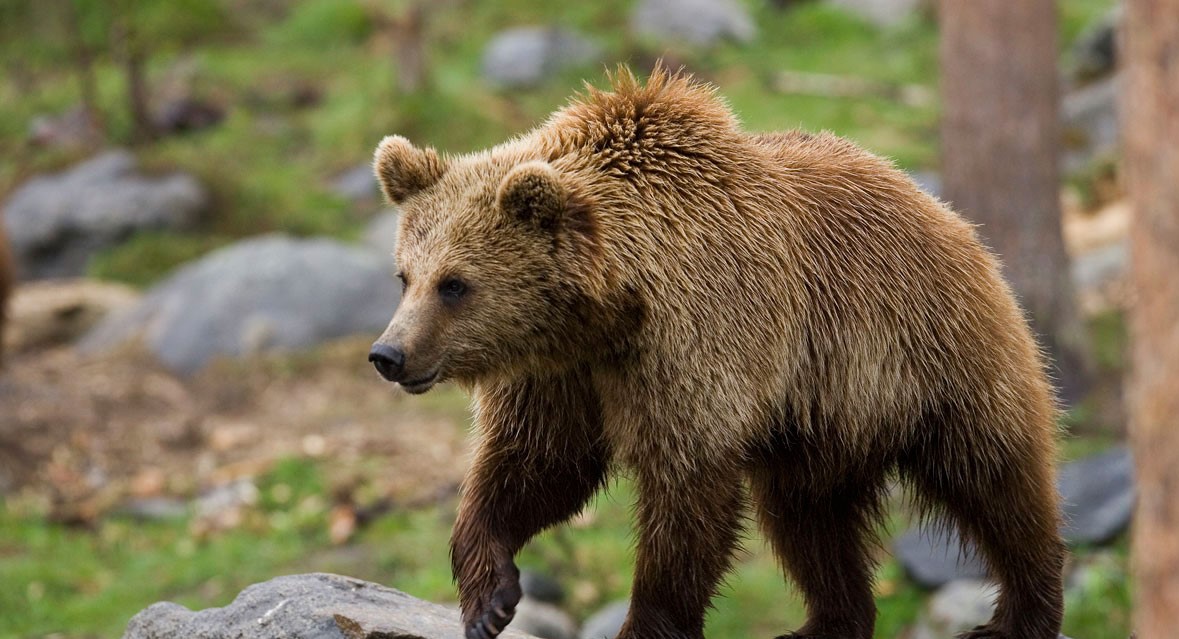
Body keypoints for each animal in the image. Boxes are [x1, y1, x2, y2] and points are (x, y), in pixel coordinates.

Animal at [367, 70, 1070, 639]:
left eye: (455, 284)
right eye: (405, 276)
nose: (388, 353)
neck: (612, 307)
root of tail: (945, 212)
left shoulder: (697, 339)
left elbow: (686, 495)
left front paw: (646, 622)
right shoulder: (565, 373)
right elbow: (538, 463)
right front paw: (490, 596)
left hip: (929, 353)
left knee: (994, 478)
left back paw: (1019, 613)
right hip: (821, 422)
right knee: (808, 519)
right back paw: (826, 622)